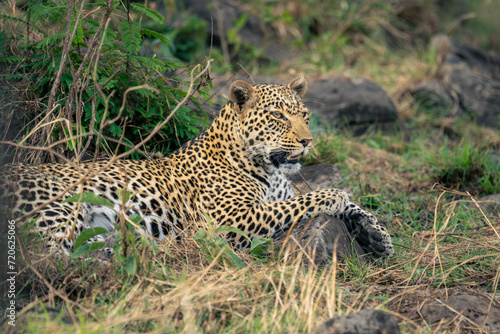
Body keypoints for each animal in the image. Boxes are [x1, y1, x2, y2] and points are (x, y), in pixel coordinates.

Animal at [0, 77, 394, 258]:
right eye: (278, 117)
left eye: (305, 115)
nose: (308, 141)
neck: (269, 170)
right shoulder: (231, 217)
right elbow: (302, 202)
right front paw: (334, 195)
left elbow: (349, 205)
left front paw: (378, 236)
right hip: (58, 208)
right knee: (47, 259)